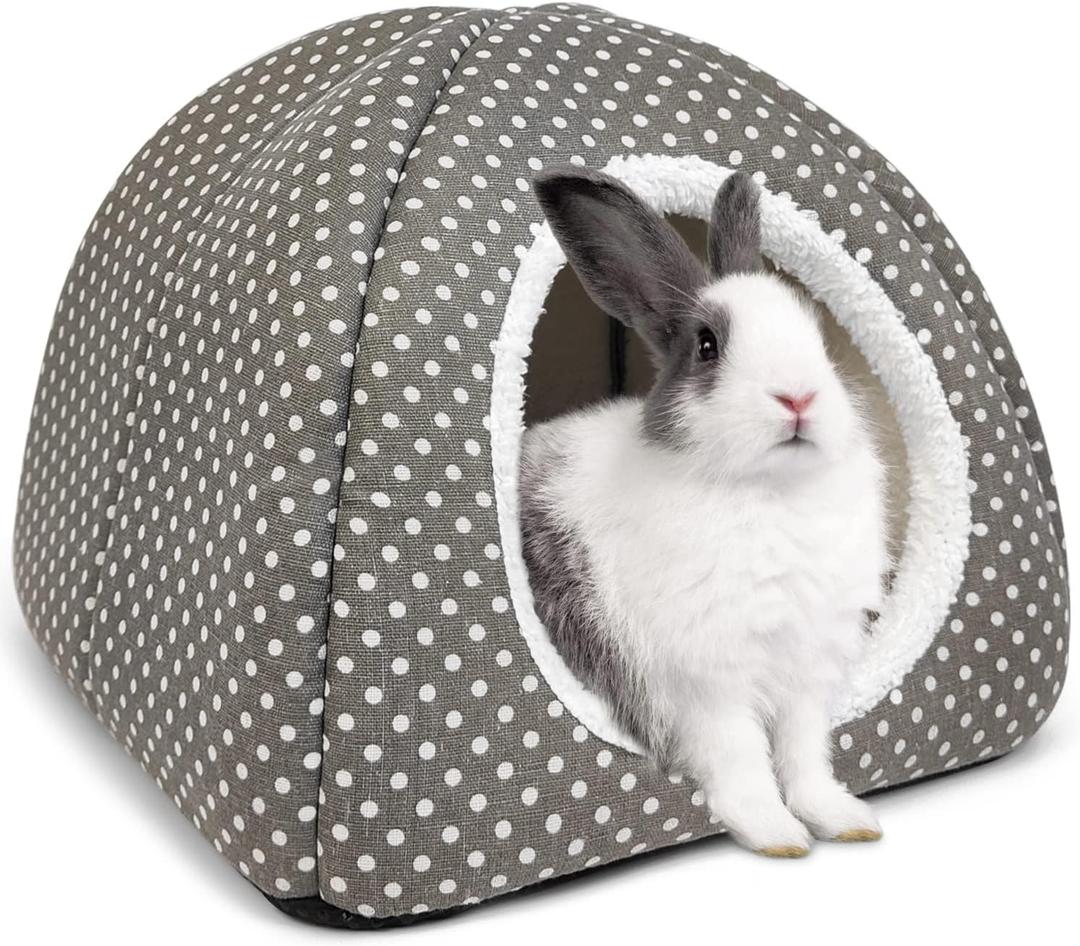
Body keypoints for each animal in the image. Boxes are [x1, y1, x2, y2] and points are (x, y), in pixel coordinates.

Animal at [519, 166, 890, 857]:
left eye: (817, 335)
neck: (769, 491)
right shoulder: (706, 682)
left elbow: (805, 756)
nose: (798, 397)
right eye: (708, 346)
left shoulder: (805, 673)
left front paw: (845, 820)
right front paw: (777, 835)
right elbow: (740, 757)